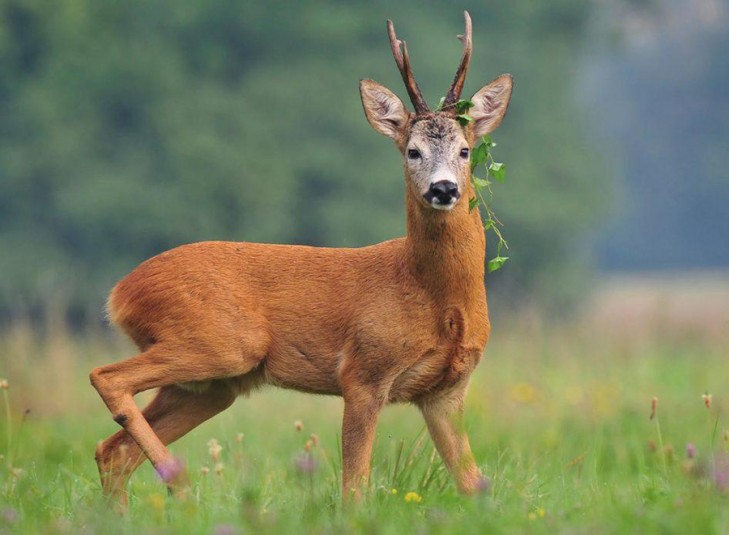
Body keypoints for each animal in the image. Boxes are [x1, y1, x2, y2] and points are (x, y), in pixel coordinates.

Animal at [91, 12, 512, 506]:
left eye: (465, 150)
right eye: (413, 151)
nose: (443, 188)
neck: (434, 297)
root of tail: (120, 293)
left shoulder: (446, 391)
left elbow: (473, 484)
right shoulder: (363, 372)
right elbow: (355, 485)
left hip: (211, 384)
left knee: (113, 450)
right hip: (221, 342)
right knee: (106, 379)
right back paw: (181, 482)